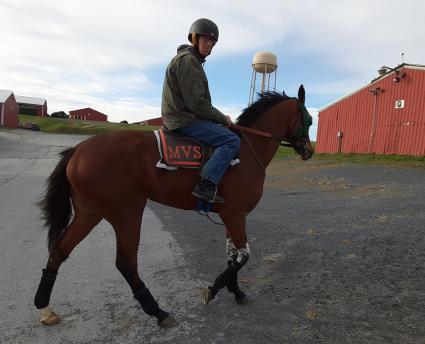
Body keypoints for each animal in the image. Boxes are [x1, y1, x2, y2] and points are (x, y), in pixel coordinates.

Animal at [33, 84, 314, 328]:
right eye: (309, 120)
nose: (309, 151)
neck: (244, 151)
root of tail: (79, 150)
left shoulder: (231, 217)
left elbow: (232, 256)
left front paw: (237, 292)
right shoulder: (235, 215)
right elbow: (242, 257)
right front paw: (213, 290)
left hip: (89, 214)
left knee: (59, 251)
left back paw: (44, 308)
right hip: (127, 215)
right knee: (126, 264)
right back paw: (158, 312)